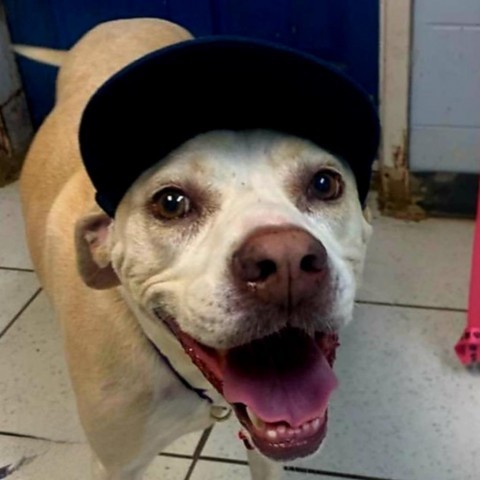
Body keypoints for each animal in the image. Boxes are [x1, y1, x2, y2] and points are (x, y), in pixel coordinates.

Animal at [18, 16, 376, 478]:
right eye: (171, 203)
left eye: (324, 183)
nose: (286, 261)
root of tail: (120, 20)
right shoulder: (115, 465)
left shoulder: (265, 447)